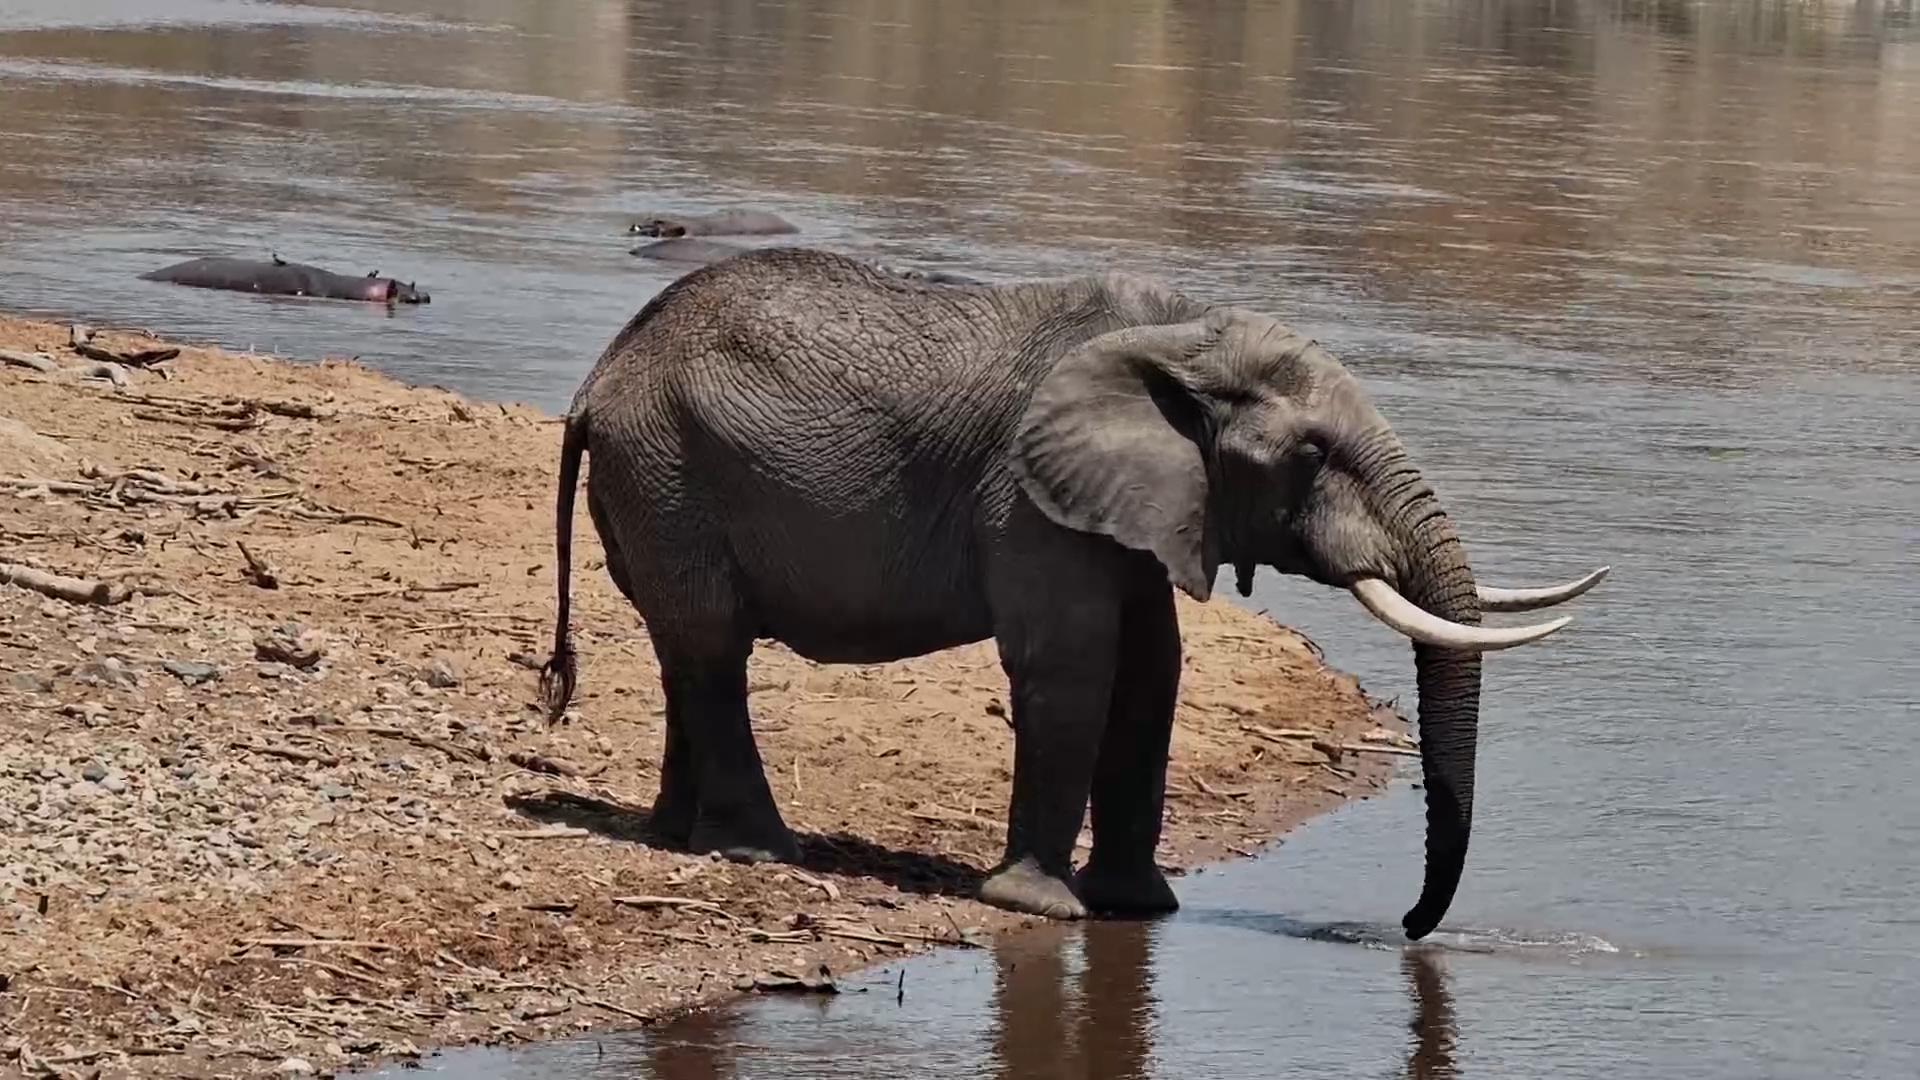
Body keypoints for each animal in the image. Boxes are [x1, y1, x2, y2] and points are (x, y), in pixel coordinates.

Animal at [538, 247, 1606, 939]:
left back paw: (679, 837)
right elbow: (1075, 665)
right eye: (1311, 455)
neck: (1180, 334)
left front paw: (1140, 908)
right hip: (669, 468)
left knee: (686, 651)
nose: (1409, 928)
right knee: (714, 648)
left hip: (657, 480)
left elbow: (1152, 671)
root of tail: (596, 382)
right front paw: (1042, 909)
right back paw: (763, 851)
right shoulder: (1028, 496)